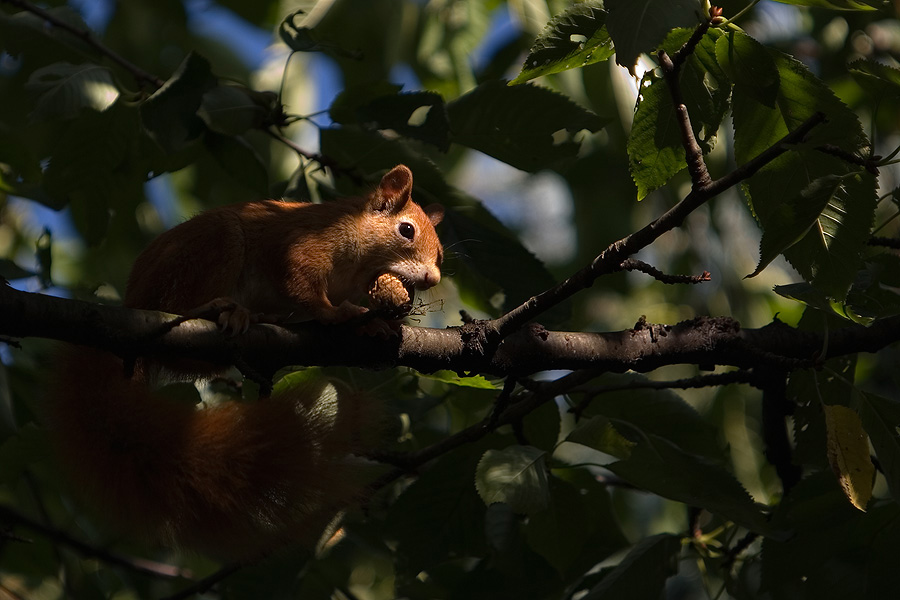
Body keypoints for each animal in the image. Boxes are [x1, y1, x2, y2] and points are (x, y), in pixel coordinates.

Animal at [49, 164, 442, 556]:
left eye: (439, 253)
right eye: (406, 230)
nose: (433, 278)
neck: (357, 268)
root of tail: (135, 305)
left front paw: (374, 324)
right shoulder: (304, 245)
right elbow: (302, 286)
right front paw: (340, 314)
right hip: (211, 248)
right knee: (180, 306)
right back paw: (219, 309)